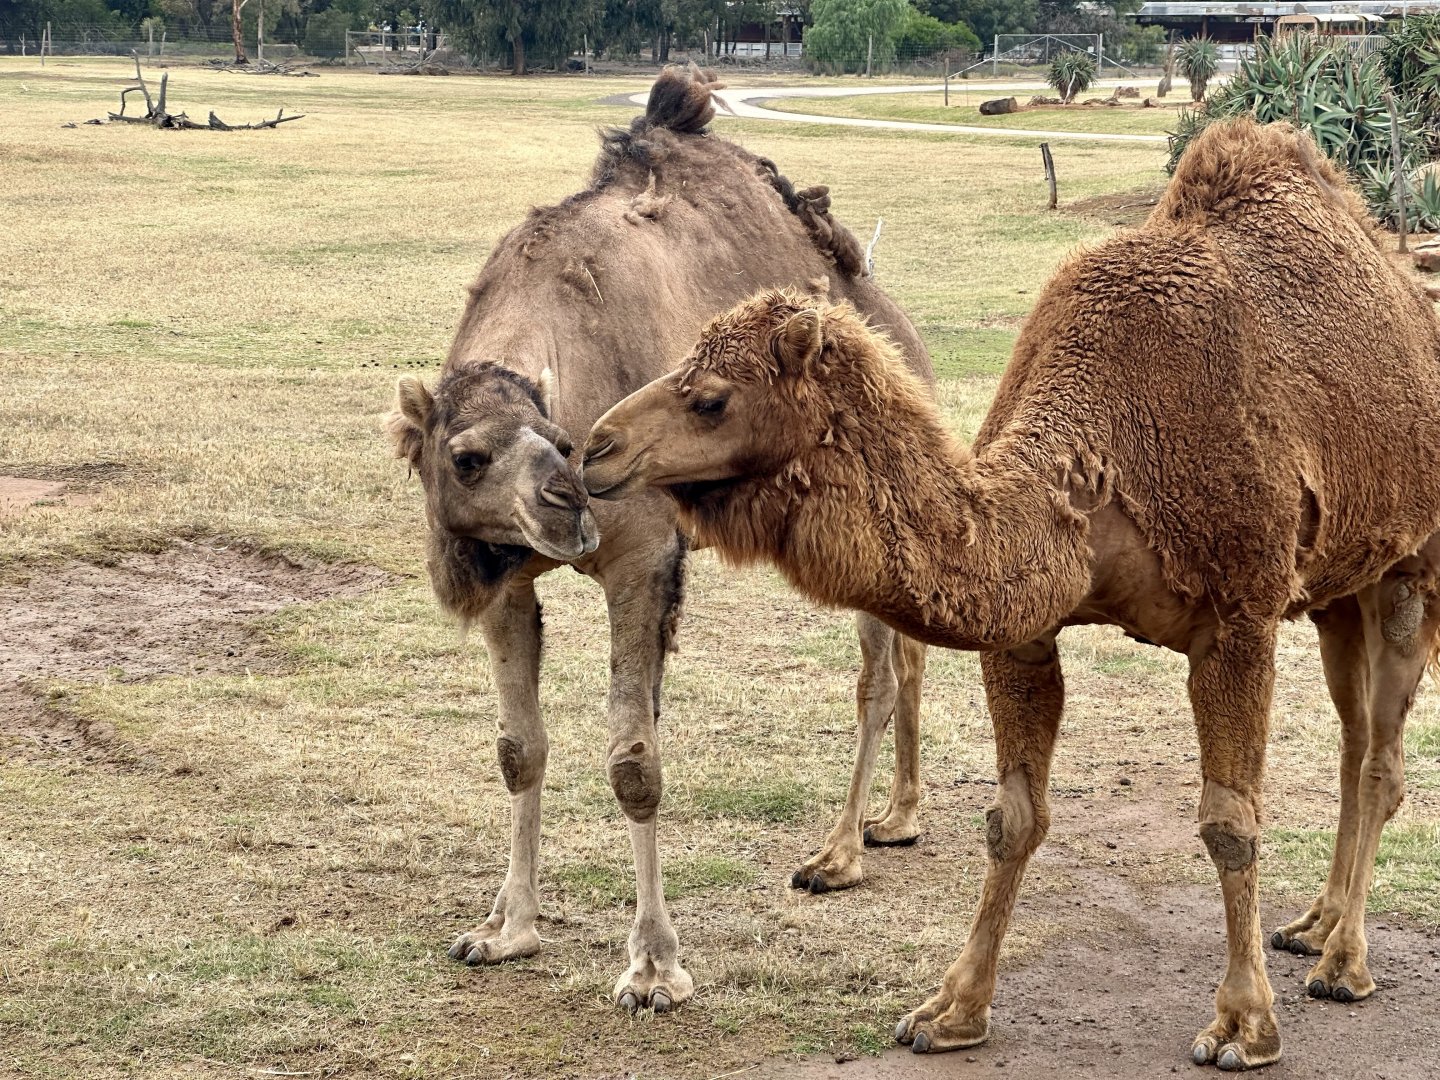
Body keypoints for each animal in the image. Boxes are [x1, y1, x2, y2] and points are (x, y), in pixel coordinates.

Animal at [384, 65, 934, 1012]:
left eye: (559, 441)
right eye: (465, 457)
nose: (568, 504)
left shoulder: (641, 555)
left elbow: (633, 763)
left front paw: (652, 968)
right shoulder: (507, 575)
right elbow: (519, 749)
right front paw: (504, 930)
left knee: (881, 672)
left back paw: (837, 854)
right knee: (910, 651)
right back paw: (894, 820)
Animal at [581, 118, 1440, 1068]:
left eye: (711, 398)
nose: (595, 447)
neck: (1108, 448)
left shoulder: (1239, 613)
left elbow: (1229, 821)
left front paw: (1243, 1025)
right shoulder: (1026, 632)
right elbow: (1014, 818)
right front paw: (951, 1009)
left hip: (1410, 567)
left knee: (1379, 763)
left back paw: (1344, 962)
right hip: (1336, 590)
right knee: (1354, 740)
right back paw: (1313, 923)